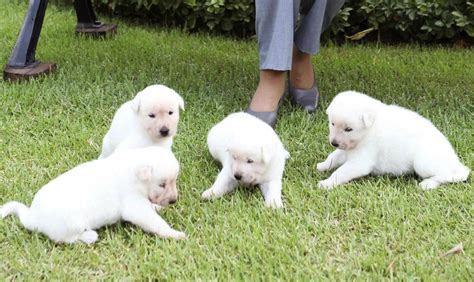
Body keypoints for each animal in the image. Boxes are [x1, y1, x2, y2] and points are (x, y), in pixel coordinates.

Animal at [0, 147, 185, 243]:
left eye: (174, 180)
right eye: (162, 184)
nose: (174, 200)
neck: (134, 171)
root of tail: (33, 218)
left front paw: (156, 206)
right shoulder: (135, 206)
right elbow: (155, 223)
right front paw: (174, 234)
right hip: (72, 224)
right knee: (68, 239)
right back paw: (89, 236)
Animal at [316, 91, 468, 191]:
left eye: (348, 129)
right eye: (332, 124)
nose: (334, 143)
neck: (369, 128)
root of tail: (456, 163)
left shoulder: (360, 160)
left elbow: (340, 172)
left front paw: (326, 183)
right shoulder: (346, 150)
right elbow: (333, 157)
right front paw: (322, 166)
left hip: (423, 163)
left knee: (447, 175)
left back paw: (428, 184)